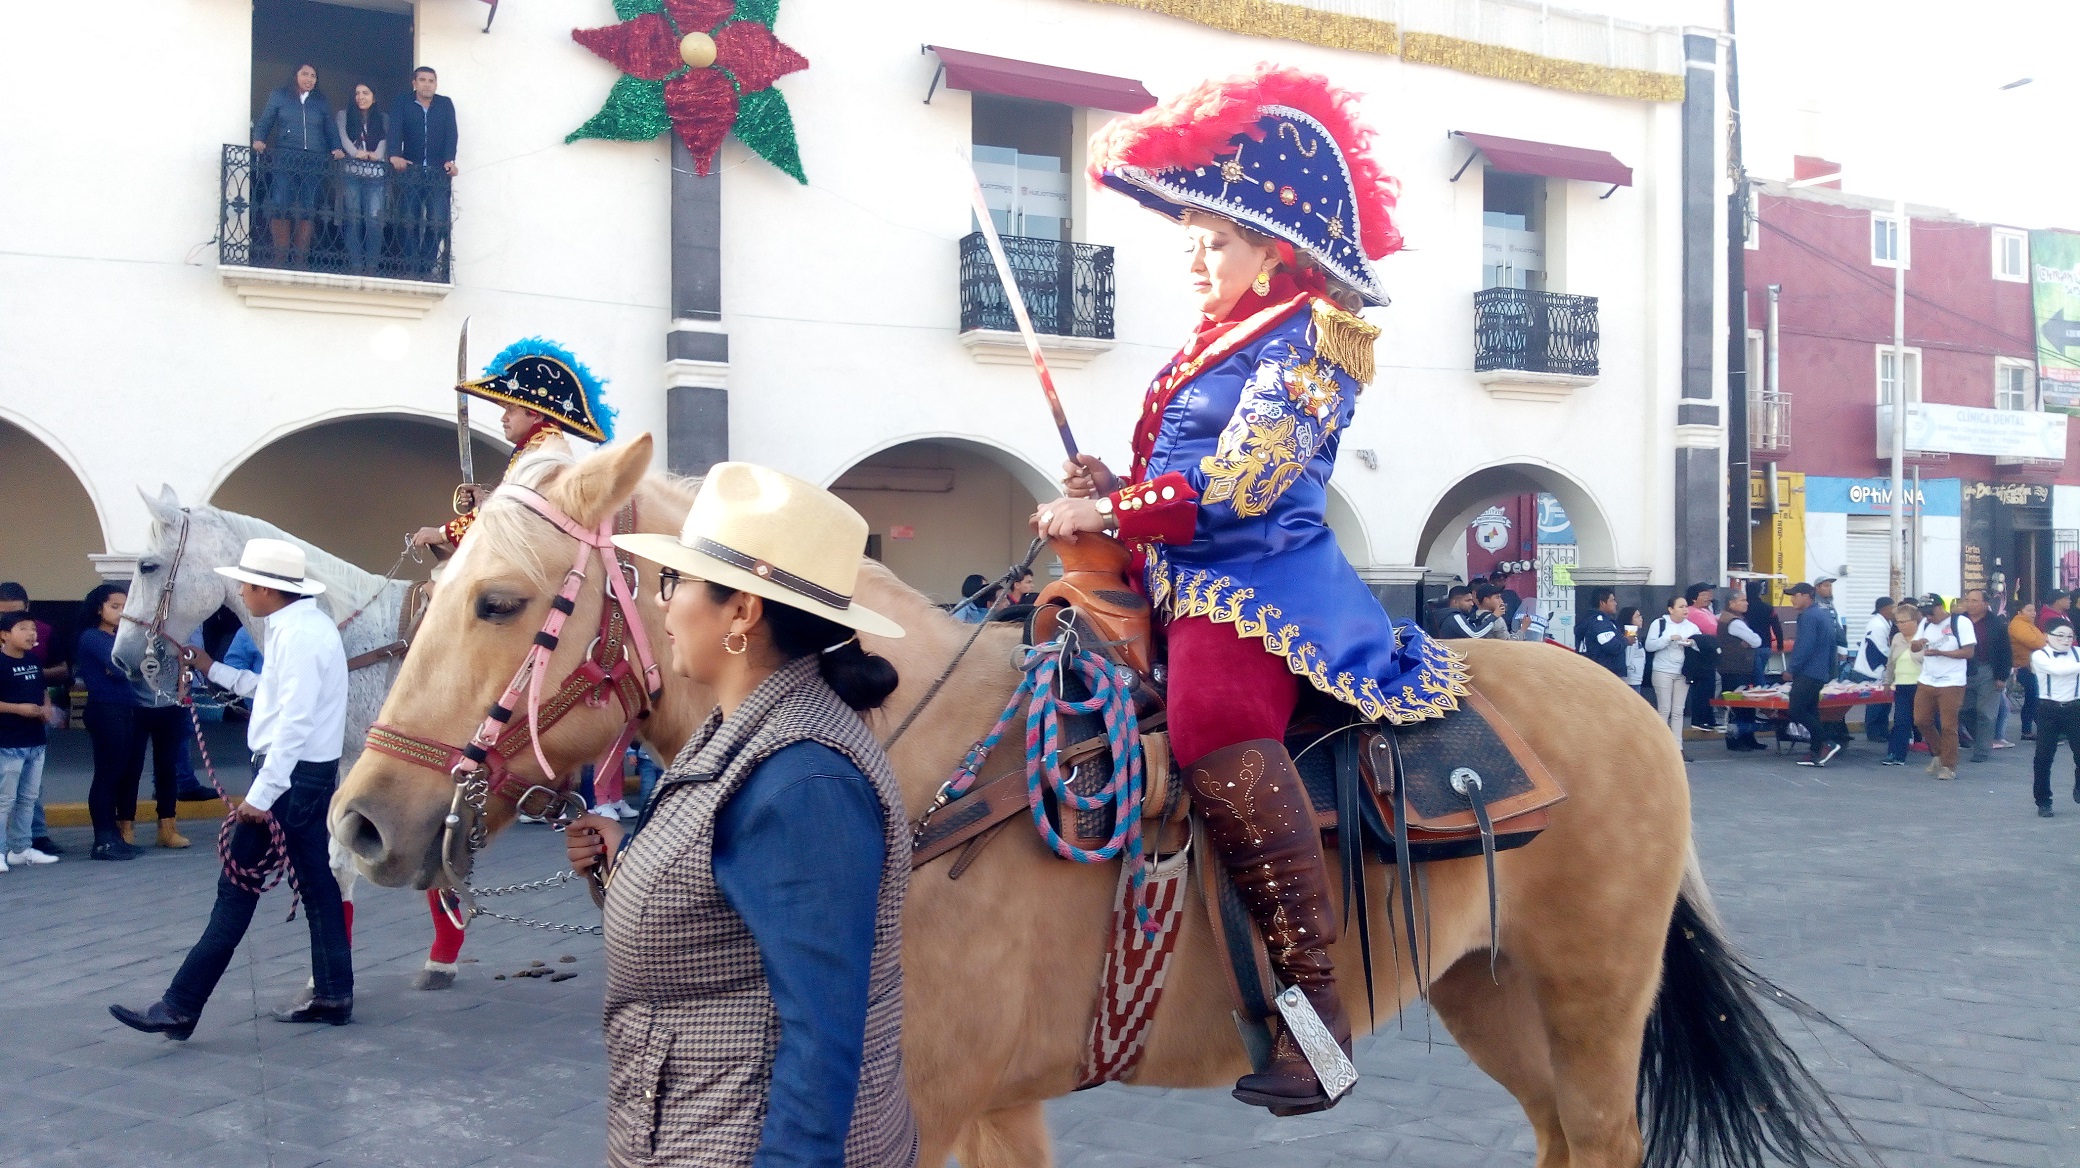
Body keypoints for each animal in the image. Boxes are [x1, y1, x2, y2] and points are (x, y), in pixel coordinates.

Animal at [332, 436, 1863, 1163]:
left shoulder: (932, 1102)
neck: (909, 762)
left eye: (500, 599)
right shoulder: (986, 1112)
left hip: (1592, 1000)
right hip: (1493, 992)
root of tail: (1628, 704)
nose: (358, 823)